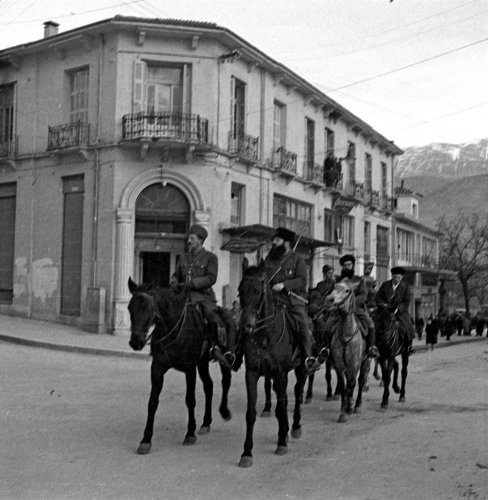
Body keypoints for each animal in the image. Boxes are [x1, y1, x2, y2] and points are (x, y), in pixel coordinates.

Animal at [126, 280, 233, 456]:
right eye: (129, 307)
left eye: (147, 308)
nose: (136, 342)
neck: (172, 327)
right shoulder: (157, 369)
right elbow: (152, 402)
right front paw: (146, 440)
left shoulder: (189, 369)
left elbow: (190, 400)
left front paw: (190, 433)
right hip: (202, 363)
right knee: (209, 386)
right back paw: (206, 423)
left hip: (224, 357)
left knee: (226, 381)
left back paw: (224, 411)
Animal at [237, 264, 306, 466]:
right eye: (240, 291)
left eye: (258, 291)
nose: (246, 325)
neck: (265, 336)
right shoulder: (252, 374)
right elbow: (251, 413)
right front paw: (246, 452)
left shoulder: (281, 373)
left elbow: (281, 408)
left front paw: (282, 443)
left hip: (301, 368)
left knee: (297, 393)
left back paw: (295, 427)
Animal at [324, 280, 370, 424]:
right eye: (334, 287)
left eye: (347, 291)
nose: (329, 300)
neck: (346, 334)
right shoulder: (339, 365)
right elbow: (344, 386)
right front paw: (343, 412)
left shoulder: (354, 364)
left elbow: (351, 384)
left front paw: (349, 407)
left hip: (365, 361)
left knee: (360, 381)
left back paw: (357, 405)